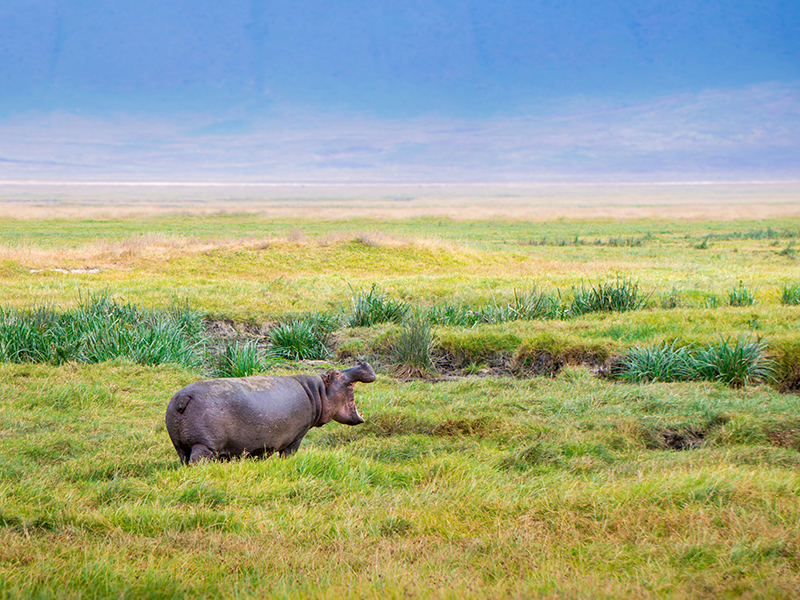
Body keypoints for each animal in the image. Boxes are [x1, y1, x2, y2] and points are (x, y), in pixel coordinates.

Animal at [164, 360, 376, 464]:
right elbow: (289, 454)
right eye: (337, 373)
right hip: (204, 446)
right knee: (198, 461)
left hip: (180, 445)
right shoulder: (297, 436)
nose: (363, 363)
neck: (318, 391)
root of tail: (183, 397)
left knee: (183, 459)